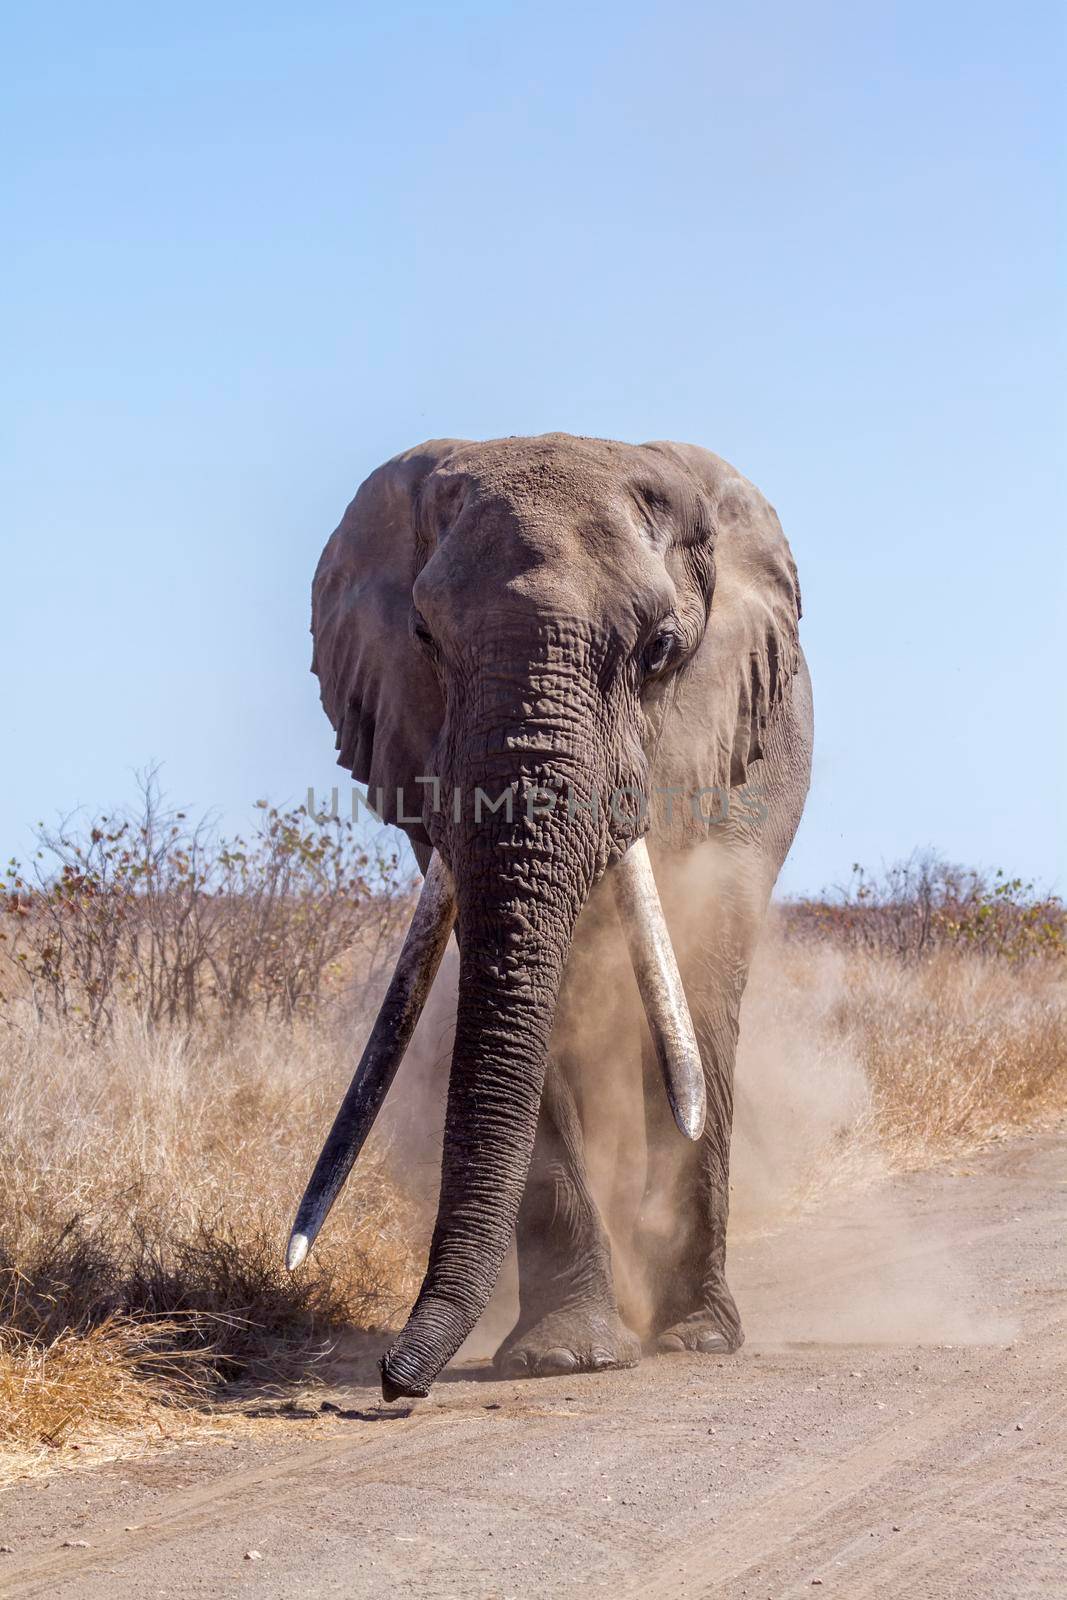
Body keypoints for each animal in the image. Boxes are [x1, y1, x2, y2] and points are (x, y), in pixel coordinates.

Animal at [287, 432, 812, 1395]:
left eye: (659, 649)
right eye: (423, 636)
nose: (390, 1379)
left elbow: (690, 988)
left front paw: (675, 1339)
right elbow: (542, 1007)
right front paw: (564, 1355)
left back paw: (686, 1325)